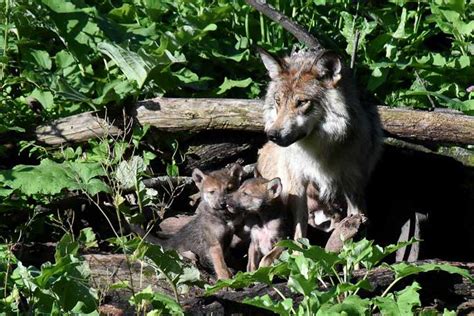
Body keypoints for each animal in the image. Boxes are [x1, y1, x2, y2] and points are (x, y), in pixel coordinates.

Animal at [256, 47, 382, 239]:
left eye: (301, 102)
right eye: (278, 101)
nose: (273, 135)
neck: (317, 151)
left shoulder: (353, 183)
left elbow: (355, 219)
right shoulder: (297, 182)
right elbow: (299, 228)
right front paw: (297, 247)